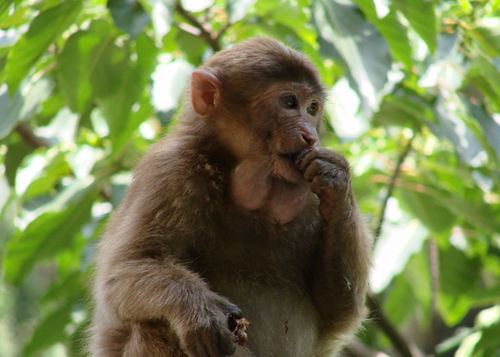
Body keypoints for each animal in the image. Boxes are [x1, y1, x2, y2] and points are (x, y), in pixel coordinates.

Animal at [90, 36, 372, 356]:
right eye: (289, 102)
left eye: (312, 108)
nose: (310, 136)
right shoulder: (168, 171)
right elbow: (122, 274)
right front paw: (200, 312)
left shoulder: (308, 194)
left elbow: (340, 307)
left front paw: (336, 181)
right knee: (153, 326)